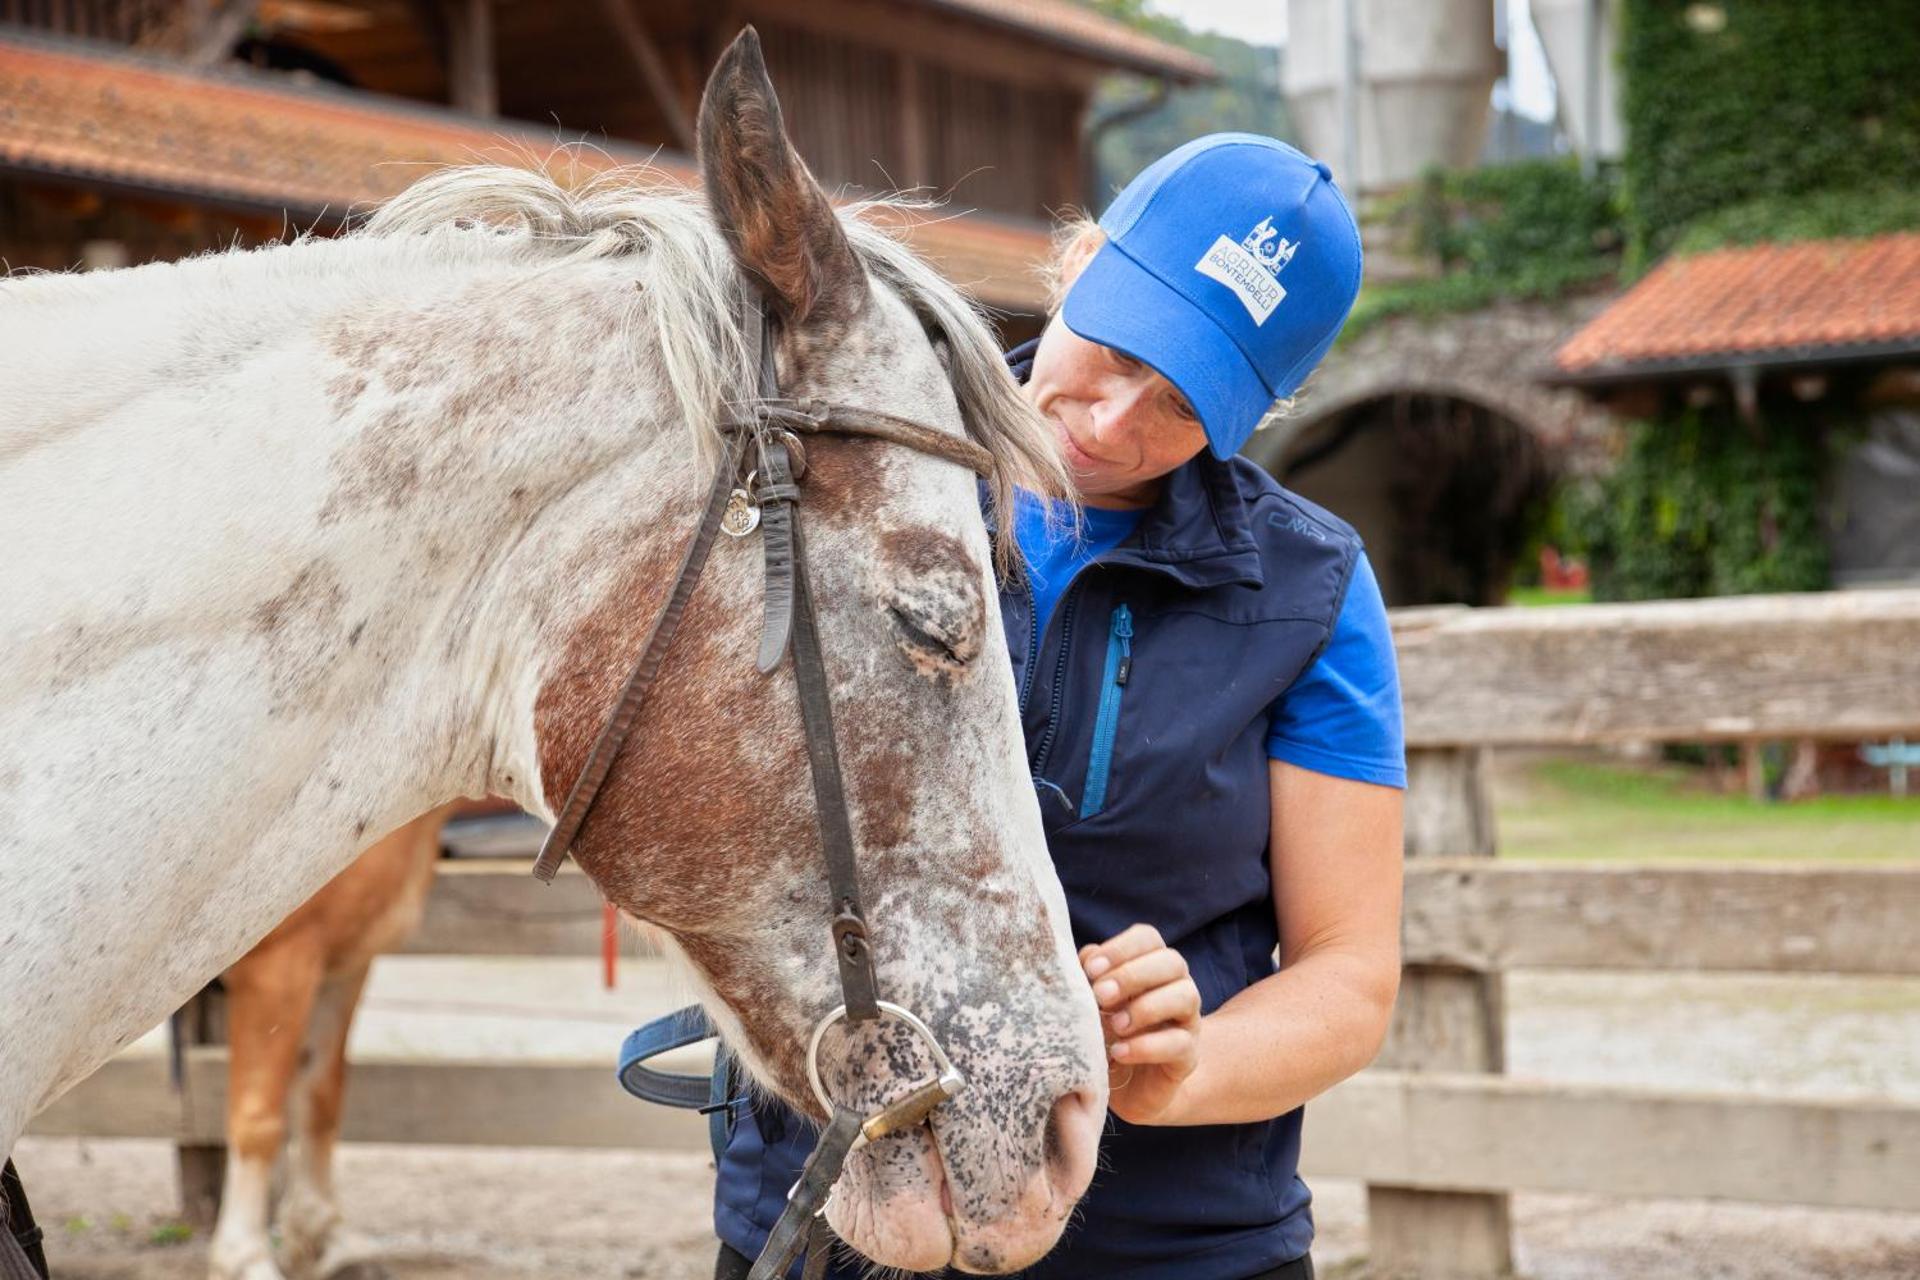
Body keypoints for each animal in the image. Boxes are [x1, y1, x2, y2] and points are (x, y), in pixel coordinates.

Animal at [209, 805, 454, 1280]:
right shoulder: (276, 967)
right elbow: (258, 1119)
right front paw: (244, 1256)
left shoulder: (340, 970)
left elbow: (320, 1099)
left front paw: (327, 1238)